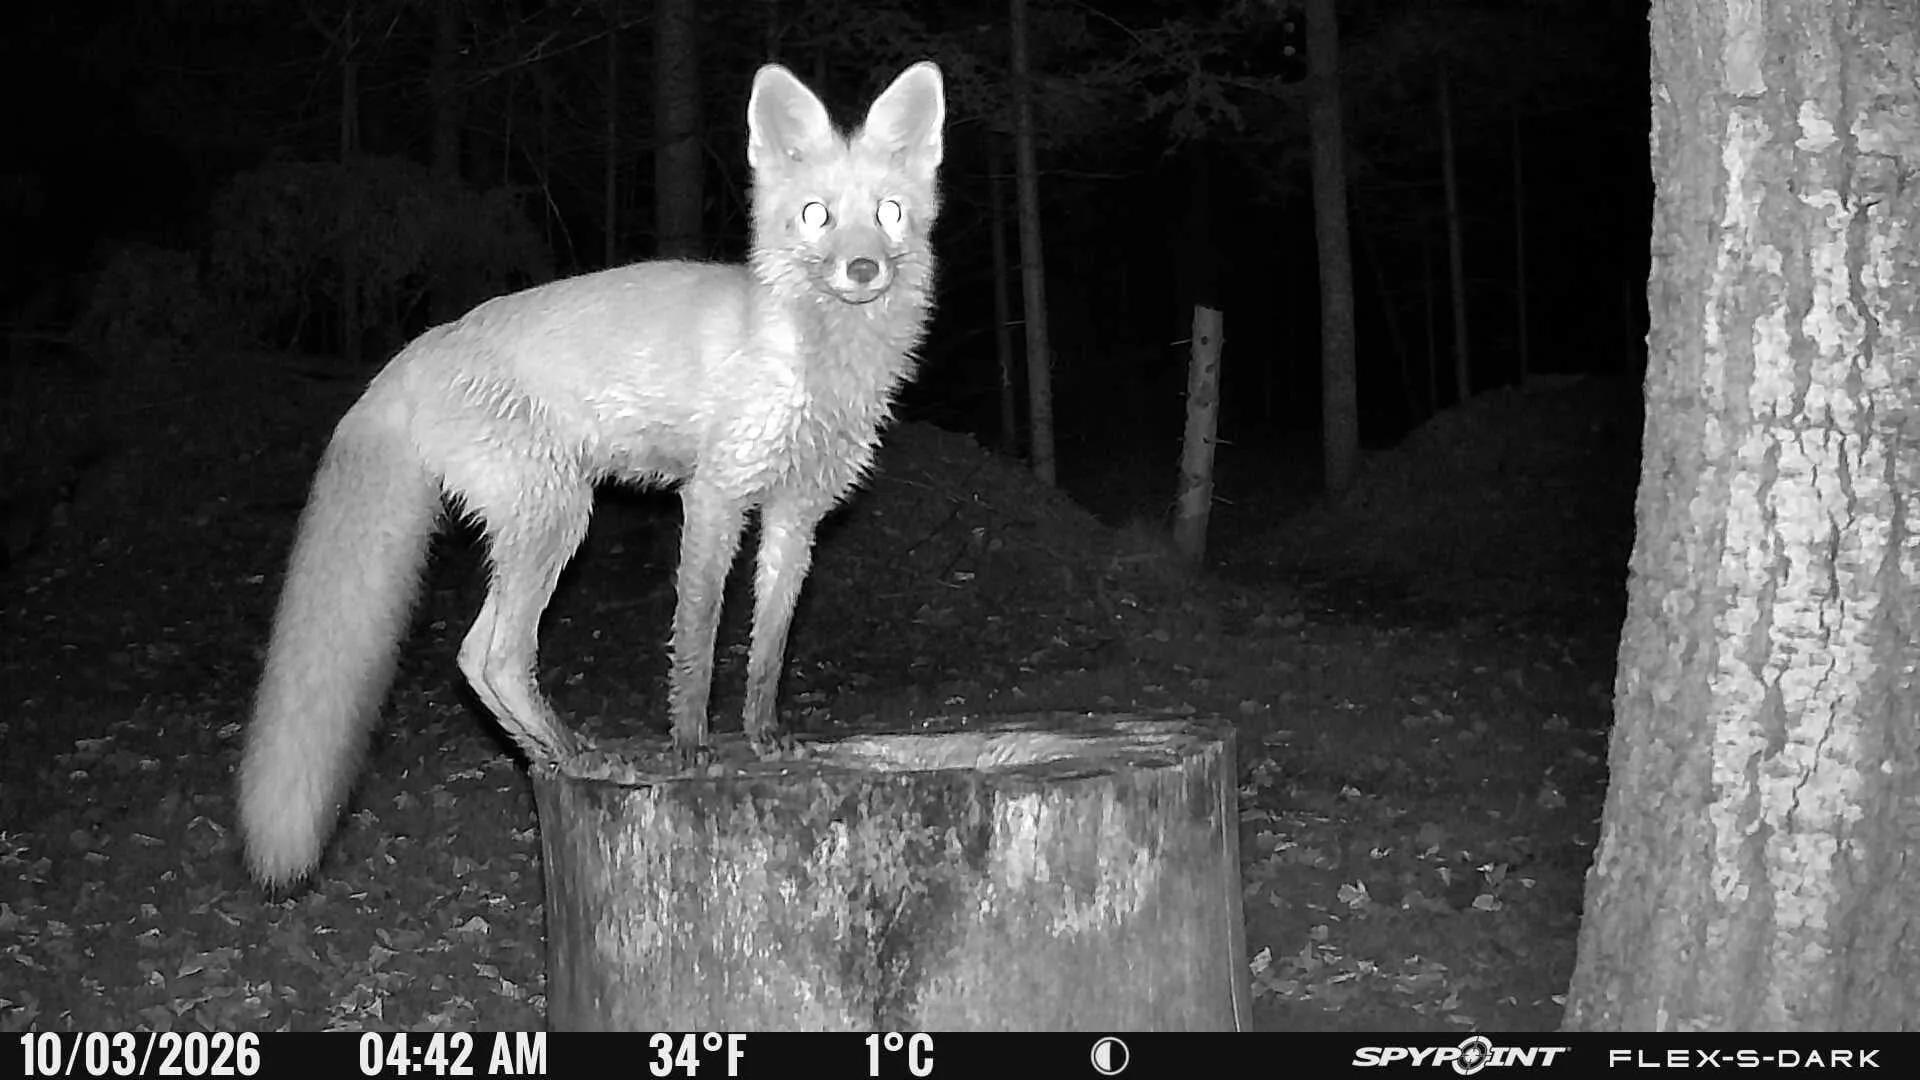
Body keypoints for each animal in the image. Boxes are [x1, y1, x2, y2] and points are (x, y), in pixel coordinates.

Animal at [237, 61, 945, 888]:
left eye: (889, 212)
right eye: (815, 215)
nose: (861, 269)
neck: (813, 359)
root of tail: (414, 351)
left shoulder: (796, 514)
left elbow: (769, 645)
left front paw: (764, 737)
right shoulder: (715, 495)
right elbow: (698, 639)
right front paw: (690, 750)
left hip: (543, 520)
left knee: (474, 656)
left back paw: (549, 755)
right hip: (560, 514)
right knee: (494, 656)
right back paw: (575, 752)